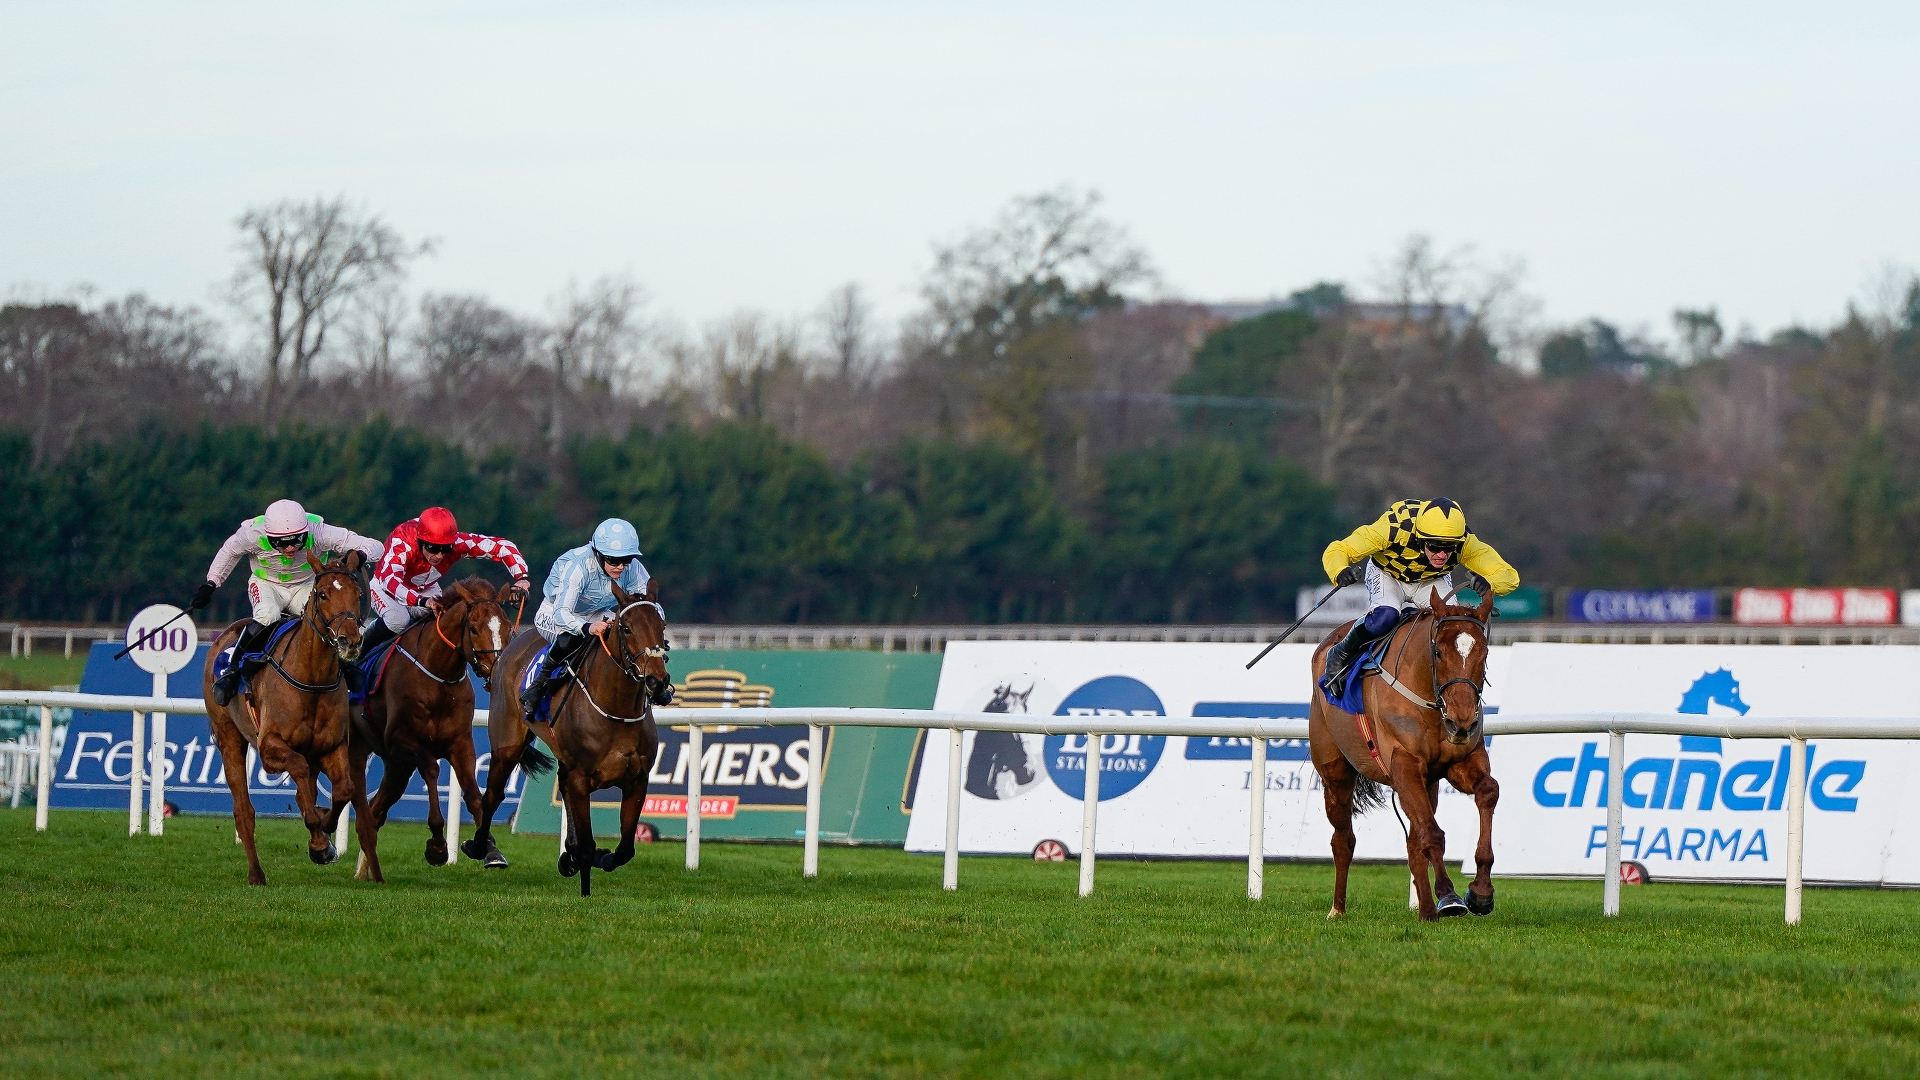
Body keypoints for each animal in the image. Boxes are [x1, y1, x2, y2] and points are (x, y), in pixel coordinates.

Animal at [204, 549, 380, 887]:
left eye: (358, 594)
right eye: (323, 594)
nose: (349, 640)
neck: (311, 678)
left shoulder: (332, 746)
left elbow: (343, 789)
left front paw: (324, 833)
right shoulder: (269, 747)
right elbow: (298, 772)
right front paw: (319, 840)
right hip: (229, 737)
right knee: (244, 811)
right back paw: (256, 874)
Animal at [349, 572, 533, 876]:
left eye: (507, 627)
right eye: (473, 629)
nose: (497, 672)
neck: (438, 677)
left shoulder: (460, 742)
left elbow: (472, 792)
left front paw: (489, 849)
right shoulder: (403, 740)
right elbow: (432, 770)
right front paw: (437, 847)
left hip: (396, 767)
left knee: (376, 810)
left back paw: (364, 871)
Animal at [470, 576, 668, 895]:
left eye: (661, 626)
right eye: (627, 628)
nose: (657, 681)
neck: (616, 708)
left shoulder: (637, 780)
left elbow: (625, 849)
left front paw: (597, 856)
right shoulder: (580, 778)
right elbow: (587, 845)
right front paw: (585, 885)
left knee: (559, 784)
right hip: (506, 745)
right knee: (492, 795)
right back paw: (479, 848)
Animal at [1305, 584, 1497, 922]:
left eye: (1484, 653)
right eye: (1438, 652)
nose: (1462, 721)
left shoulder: (1460, 760)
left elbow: (1488, 791)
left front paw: (1481, 892)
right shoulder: (1404, 763)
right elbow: (1431, 834)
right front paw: (1449, 896)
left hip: (1427, 783)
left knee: (1413, 840)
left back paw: (1426, 911)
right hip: (1335, 772)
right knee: (1344, 839)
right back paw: (1338, 909)